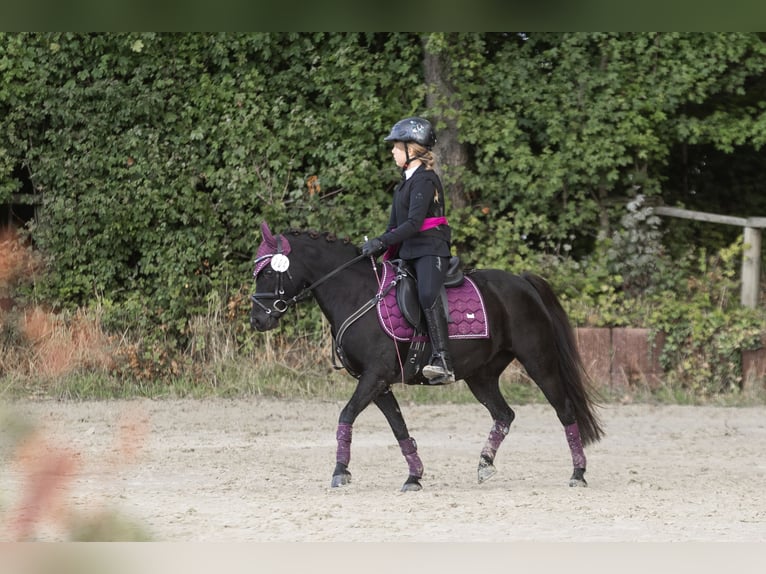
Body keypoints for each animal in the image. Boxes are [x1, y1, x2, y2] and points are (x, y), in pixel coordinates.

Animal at [250, 221, 604, 492]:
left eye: (266, 273)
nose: (258, 320)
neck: (358, 294)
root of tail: (522, 282)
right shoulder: (379, 383)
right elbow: (399, 428)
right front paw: (414, 476)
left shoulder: (374, 376)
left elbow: (346, 415)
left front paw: (340, 471)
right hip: (481, 375)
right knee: (504, 414)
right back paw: (485, 463)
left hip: (539, 362)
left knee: (565, 410)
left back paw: (578, 473)